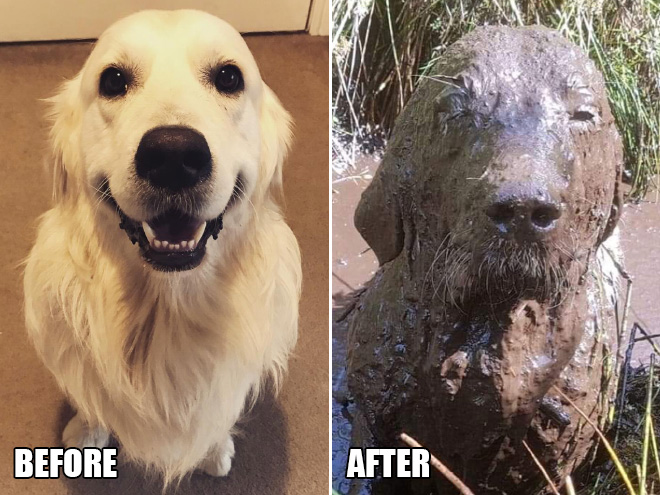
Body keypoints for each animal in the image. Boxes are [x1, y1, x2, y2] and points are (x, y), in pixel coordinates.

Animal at [22, 8, 302, 484]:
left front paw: (214, 448)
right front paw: (87, 430)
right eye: (113, 80)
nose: (173, 155)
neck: (166, 309)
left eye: (229, 77)